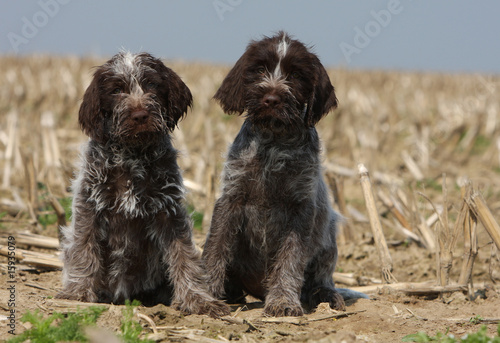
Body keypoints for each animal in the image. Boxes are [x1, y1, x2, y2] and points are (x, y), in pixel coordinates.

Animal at [58, 52, 229, 318]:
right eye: (117, 90)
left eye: (151, 84)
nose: (140, 116)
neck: (133, 155)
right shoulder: (90, 206)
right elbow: (83, 249)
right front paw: (78, 293)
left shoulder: (169, 210)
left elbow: (184, 255)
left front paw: (197, 299)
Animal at [203, 32, 364, 318]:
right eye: (259, 69)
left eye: (296, 75)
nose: (271, 98)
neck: (274, 141)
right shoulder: (231, 198)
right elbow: (215, 249)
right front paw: (207, 295)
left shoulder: (300, 208)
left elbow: (290, 258)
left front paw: (283, 301)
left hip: (329, 235)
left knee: (320, 277)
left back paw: (325, 295)